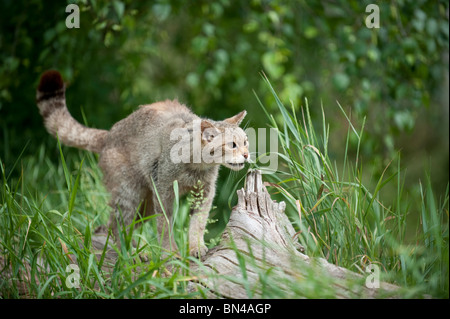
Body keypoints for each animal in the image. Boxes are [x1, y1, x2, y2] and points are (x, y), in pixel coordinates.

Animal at [36, 69, 250, 258]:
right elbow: (165, 225)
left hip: (144, 204)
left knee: (114, 224)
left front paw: (196, 247)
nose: (247, 155)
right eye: (232, 145)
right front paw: (170, 253)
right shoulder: (164, 191)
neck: (196, 166)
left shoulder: (204, 192)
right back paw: (130, 254)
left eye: (246, 141)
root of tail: (109, 135)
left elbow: (197, 223)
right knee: (118, 225)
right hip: (129, 193)